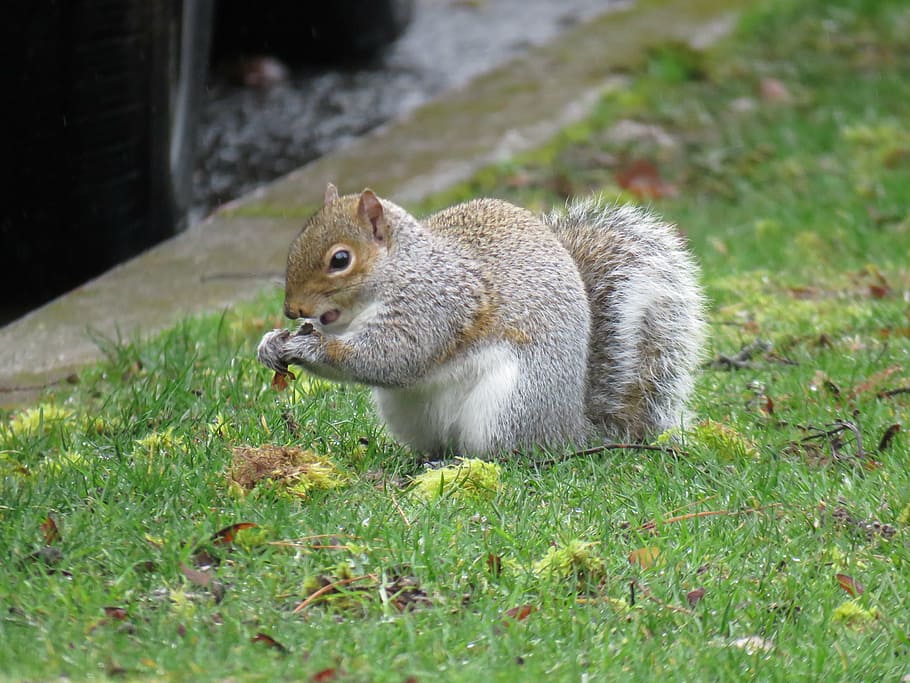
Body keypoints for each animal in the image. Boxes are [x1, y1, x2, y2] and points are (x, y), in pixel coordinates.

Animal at [258, 183, 705, 457]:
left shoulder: (438, 304)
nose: (292, 309)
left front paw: (309, 346)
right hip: (409, 414)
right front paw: (272, 342)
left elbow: (393, 357)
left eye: (340, 259)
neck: (403, 268)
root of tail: (571, 427)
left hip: (510, 404)